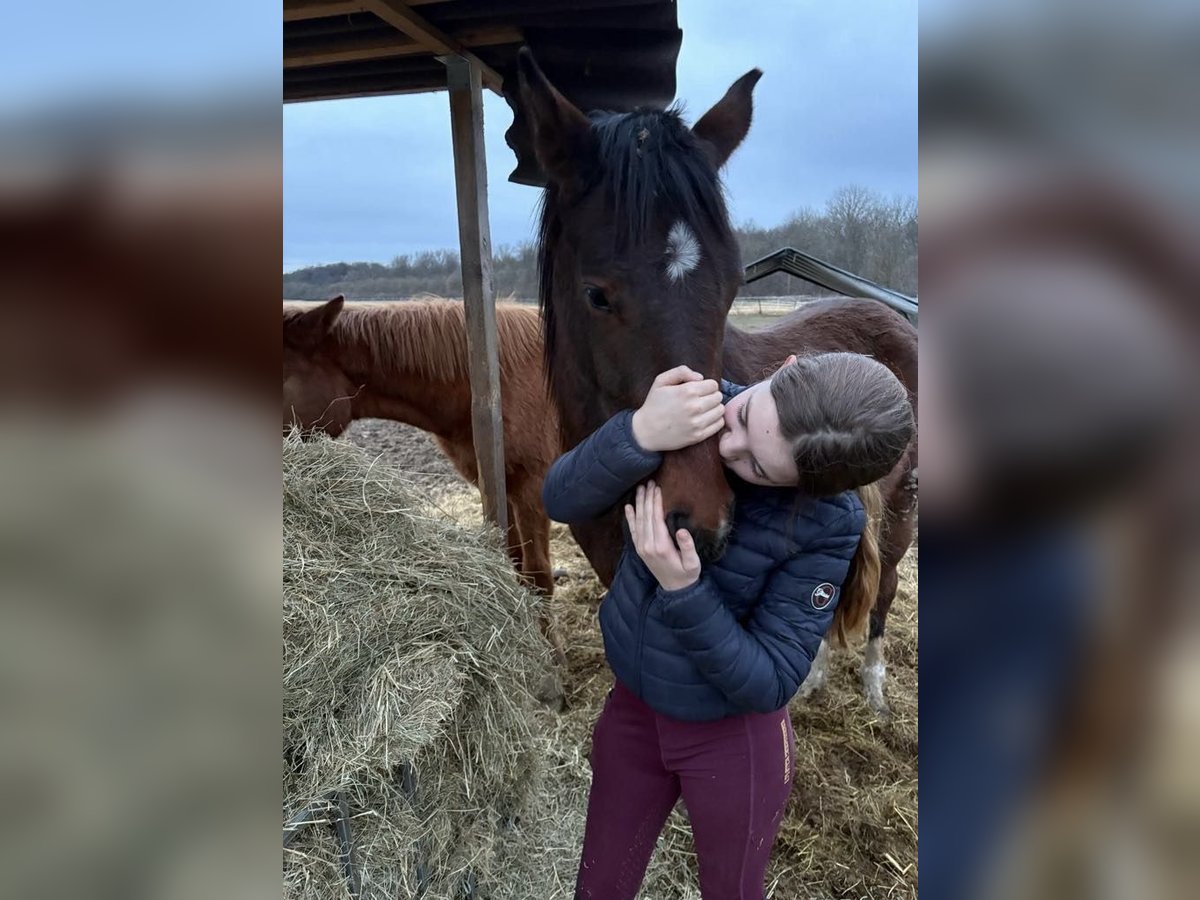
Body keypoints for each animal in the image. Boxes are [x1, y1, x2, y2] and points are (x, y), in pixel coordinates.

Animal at [280, 300, 566, 672]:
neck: (494, 384)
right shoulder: (496, 484)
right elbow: (515, 563)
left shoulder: (533, 487)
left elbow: (539, 576)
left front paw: (553, 659)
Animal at [516, 49, 916, 715]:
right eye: (597, 294)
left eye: (732, 285)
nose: (699, 526)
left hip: (903, 512)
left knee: (881, 589)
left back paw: (875, 687)